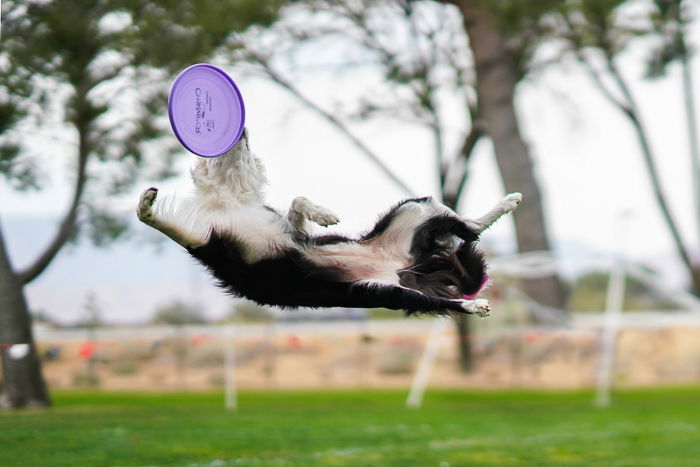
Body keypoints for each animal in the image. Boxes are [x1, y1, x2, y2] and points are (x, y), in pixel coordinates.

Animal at [138, 131, 520, 318]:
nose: (243, 128)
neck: (228, 200)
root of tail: (408, 266)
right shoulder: (206, 243)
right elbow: (153, 221)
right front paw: (146, 204)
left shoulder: (275, 232)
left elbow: (297, 203)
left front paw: (324, 215)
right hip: (385, 289)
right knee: (449, 290)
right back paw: (474, 303)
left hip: (413, 211)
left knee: (469, 227)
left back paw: (508, 202)